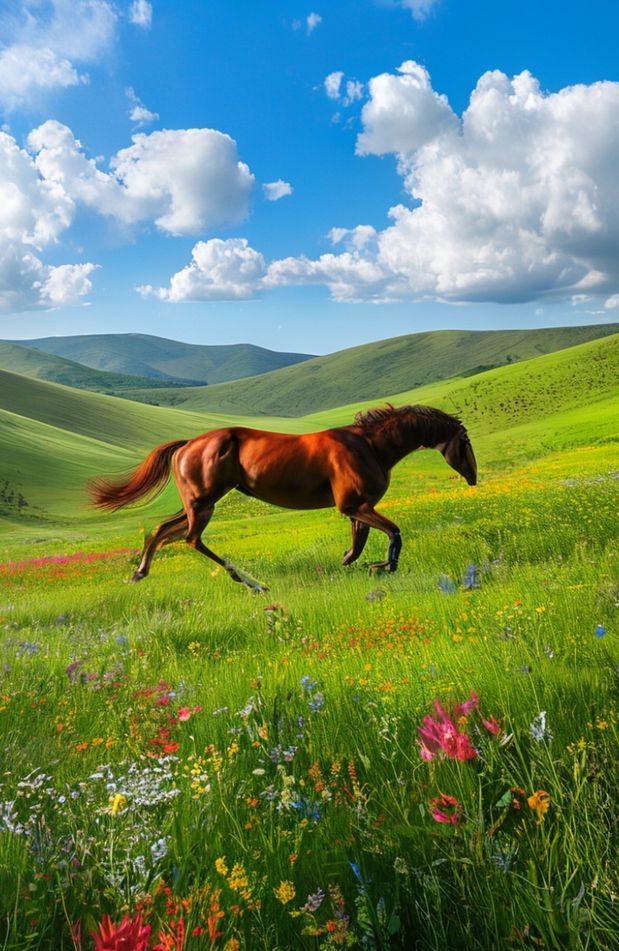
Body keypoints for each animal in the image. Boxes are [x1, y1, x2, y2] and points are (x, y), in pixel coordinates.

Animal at [89, 404, 477, 591]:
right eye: (465, 441)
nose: (474, 477)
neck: (369, 446)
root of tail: (187, 444)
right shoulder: (354, 505)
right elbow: (393, 534)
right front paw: (382, 567)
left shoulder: (357, 509)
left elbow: (357, 545)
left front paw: (355, 565)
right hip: (204, 504)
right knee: (191, 539)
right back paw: (254, 584)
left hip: (199, 504)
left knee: (161, 531)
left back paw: (139, 573)